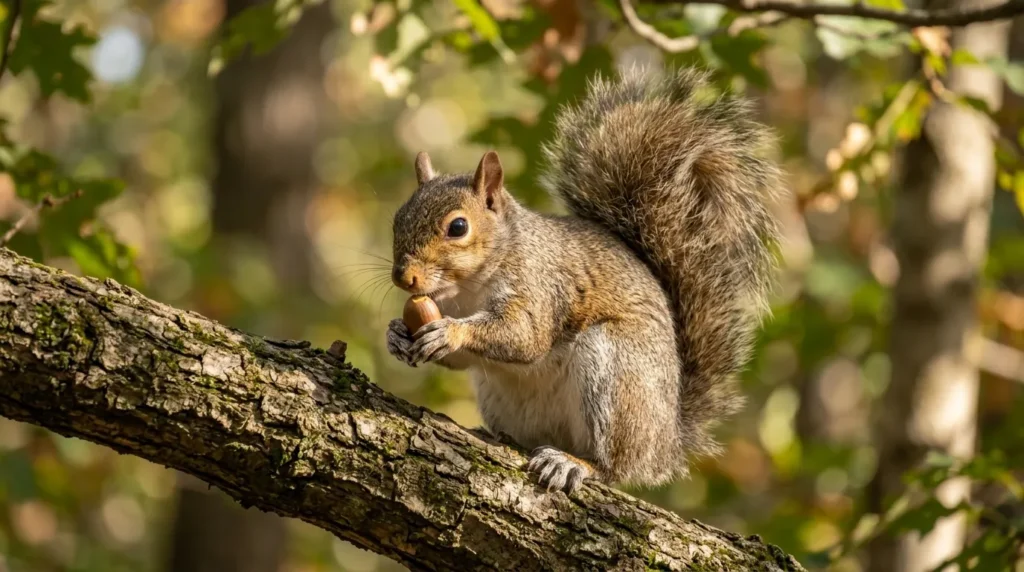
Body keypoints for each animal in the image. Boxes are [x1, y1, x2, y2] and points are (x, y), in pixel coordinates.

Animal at [385, 66, 783, 494]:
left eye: (458, 227)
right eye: (397, 219)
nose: (403, 277)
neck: (467, 289)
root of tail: (665, 445)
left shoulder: (541, 285)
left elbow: (525, 336)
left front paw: (450, 332)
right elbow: (461, 359)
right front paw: (397, 334)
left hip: (616, 371)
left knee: (615, 467)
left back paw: (574, 463)